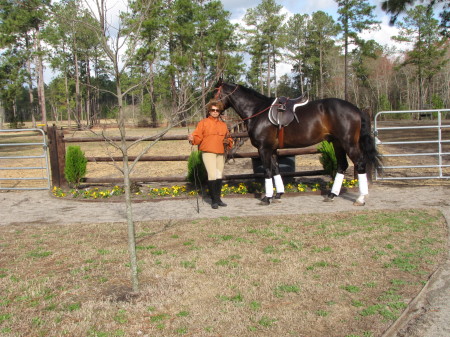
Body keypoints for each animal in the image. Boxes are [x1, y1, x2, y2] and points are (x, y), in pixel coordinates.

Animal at [214, 79, 380, 205]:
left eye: (215, 92)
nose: (211, 108)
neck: (258, 110)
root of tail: (356, 110)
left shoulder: (263, 148)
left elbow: (267, 171)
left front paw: (267, 198)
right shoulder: (272, 149)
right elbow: (276, 170)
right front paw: (278, 194)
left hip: (348, 143)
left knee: (360, 164)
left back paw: (360, 198)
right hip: (337, 143)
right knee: (342, 165)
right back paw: (332, 195)